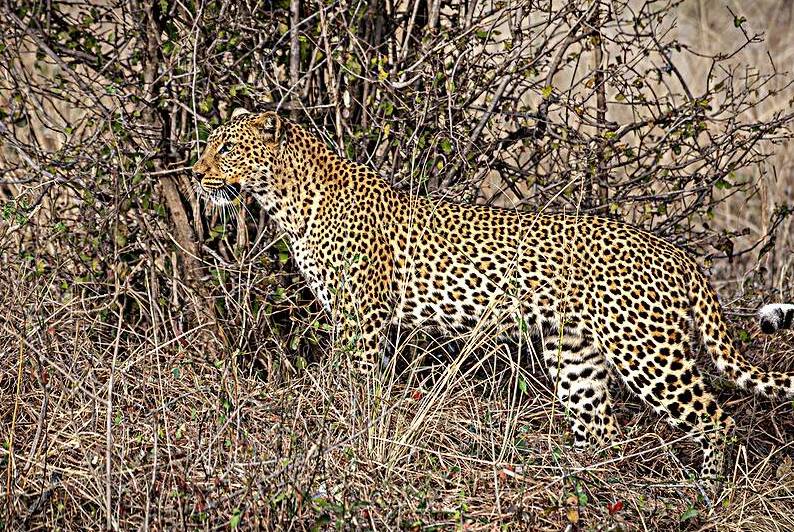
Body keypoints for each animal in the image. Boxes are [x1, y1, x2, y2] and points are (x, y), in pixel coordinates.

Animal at [192, 107, 794, 487]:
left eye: (226, 149)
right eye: (209, 146)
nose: (196, 175)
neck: (286, 200)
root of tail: (680, 255)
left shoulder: (361, 318)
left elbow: (356, 386)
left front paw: (345, 440)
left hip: (646, 351)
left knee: (716, 418)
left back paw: (707, 491)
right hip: (573, 353)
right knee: (601, 427)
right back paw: (577, 479)